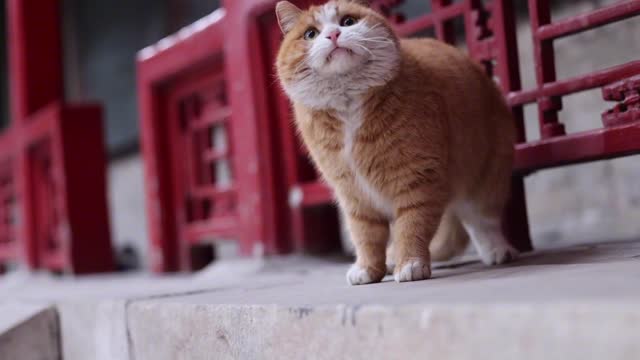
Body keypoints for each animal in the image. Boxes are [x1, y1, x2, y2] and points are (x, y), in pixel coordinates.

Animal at [276, 0, 520, 286]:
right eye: (310, 34)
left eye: (347, 22)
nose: (333, 35)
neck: (348, 104)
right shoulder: (353, 193)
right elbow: (366, 236)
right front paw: (368, 269)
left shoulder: (417, 180)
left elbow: (411, 227)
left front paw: (411, 264)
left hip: (486, 178)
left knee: (482, 222)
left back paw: (497, 251)